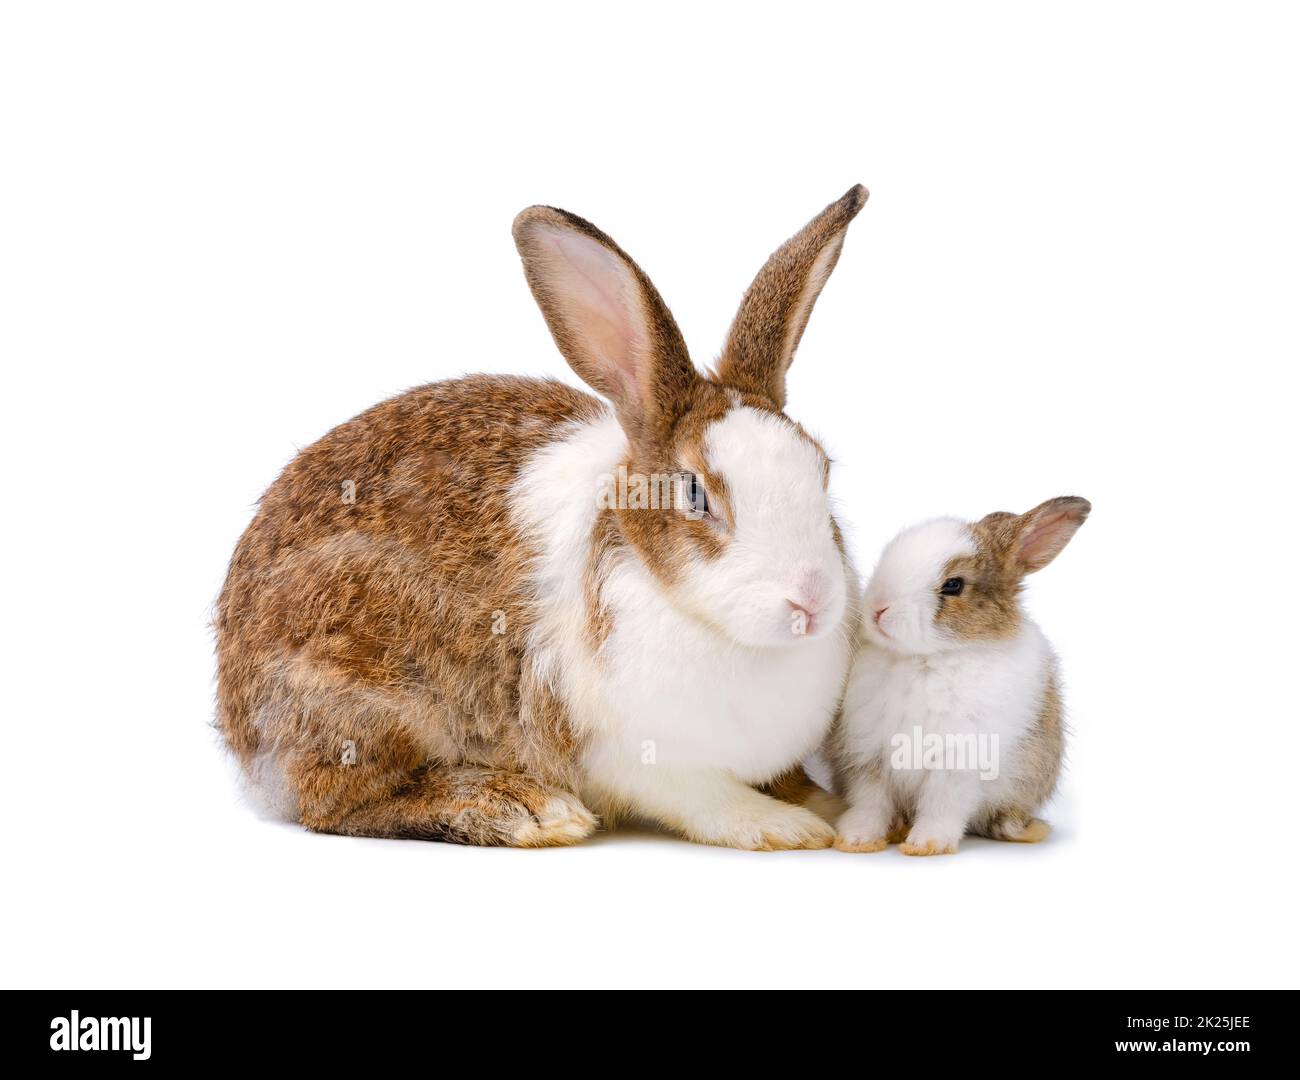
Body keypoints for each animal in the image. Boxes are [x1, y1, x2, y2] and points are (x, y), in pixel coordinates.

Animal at [215, 185, 870, 849]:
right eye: (694, 494)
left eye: (822, 470)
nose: (812, 603)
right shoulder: (636, 757)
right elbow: (706, 800)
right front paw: (786, 827)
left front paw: (829, 807)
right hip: (362, 687)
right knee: (340, 800)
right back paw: (522, 808)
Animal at [827, 495, 1090, 855]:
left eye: (954, 585)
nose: (878, 608)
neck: (925, 659)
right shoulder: (868, 758)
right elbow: (871, 802)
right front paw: (856, 839)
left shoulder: (958, 764)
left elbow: (941, 805)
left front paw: (926, 844)